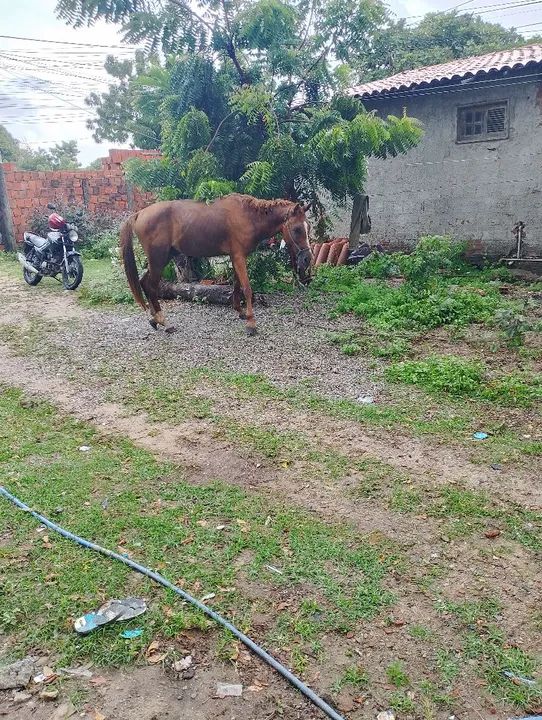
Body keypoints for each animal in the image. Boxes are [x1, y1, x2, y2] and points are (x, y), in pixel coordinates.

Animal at [120, 193, 312, 335]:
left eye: (308, 227)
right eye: (297, 229)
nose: (307, 259)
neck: (247, 216)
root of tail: (139, 214)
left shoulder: (236, 257)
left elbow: (237, 284)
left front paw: (240, 311)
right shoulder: (239, 256)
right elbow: (247, 288)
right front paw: (251, 323)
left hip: (162, 259)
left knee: (145, 283)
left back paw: (154, 319)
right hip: (158, 260)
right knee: (151, 286)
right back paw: (164, 322)